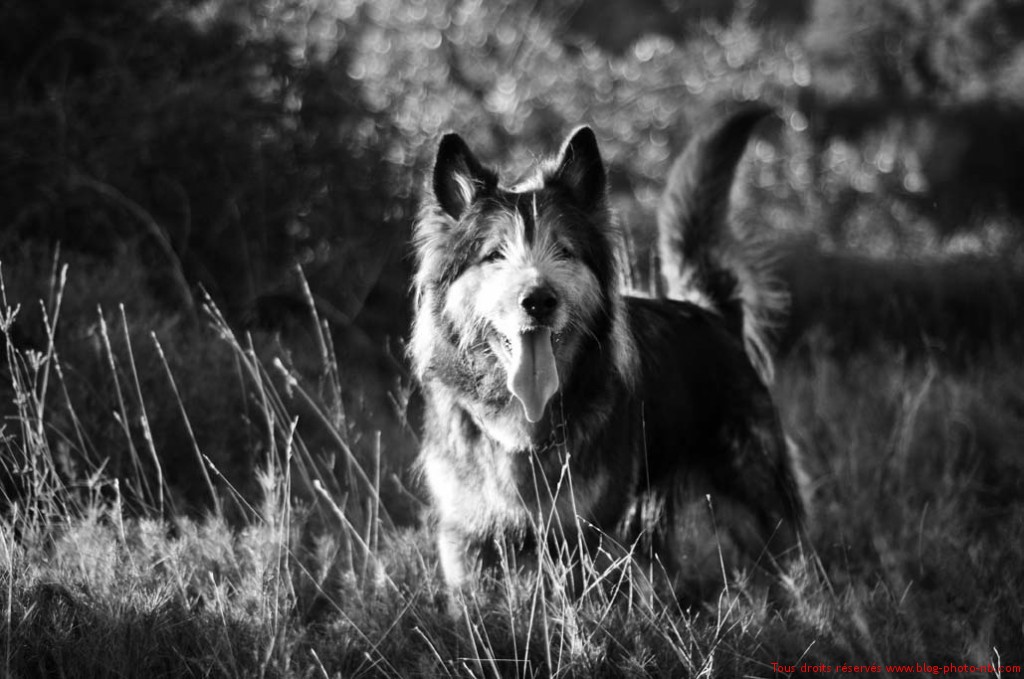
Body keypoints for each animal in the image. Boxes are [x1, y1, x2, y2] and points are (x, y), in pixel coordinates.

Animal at [411, 106, 802, 602]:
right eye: (495, 255)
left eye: (563, 251)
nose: (539, 300)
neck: (524, 421)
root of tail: (713, 312)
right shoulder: (465, 538)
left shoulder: (586, 537)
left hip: (761, 497)